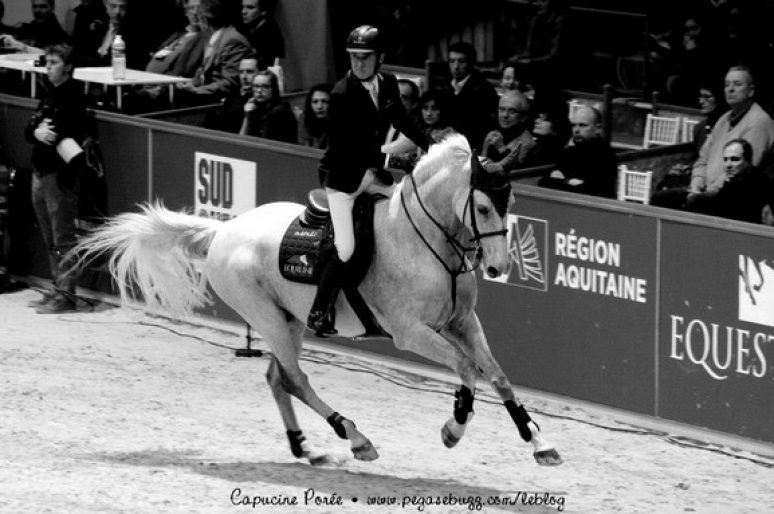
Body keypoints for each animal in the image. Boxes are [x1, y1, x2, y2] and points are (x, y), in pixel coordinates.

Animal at [73, 135, 564, 464]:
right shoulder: (412, 333)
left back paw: (306, 447)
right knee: (294, 379)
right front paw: (453, 429)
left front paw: (540, 442)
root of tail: (222, 231)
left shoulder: (463, 322)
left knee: (276, 378)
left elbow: (497, 376)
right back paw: (356, 438)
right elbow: (466, 370)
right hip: (267, 319)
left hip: (289, 320)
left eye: (510, 204)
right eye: (481, 208)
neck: (427, 241)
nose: (497, 267)